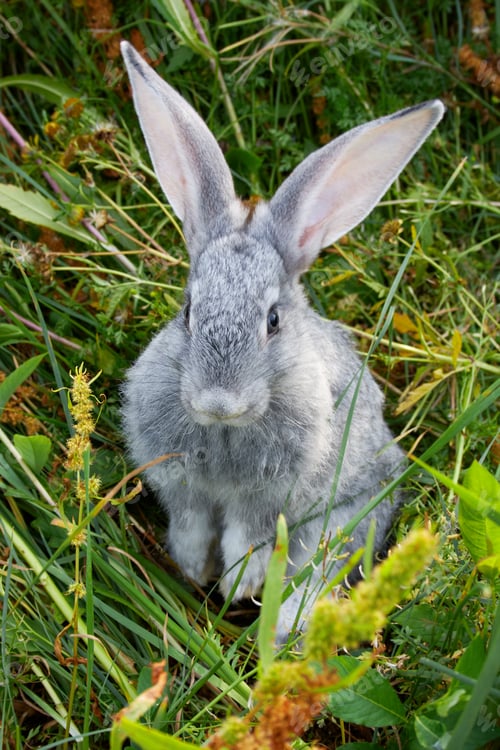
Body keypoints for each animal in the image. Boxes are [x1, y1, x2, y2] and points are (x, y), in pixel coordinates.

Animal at [120, 40, 444, 642]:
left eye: (272, 320)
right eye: (188, 311)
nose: (218, 402)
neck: (226, 432)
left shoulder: (270, 499)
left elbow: (249, 536)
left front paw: (235, 583)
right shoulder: (181, 484)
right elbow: (191, 521)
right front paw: (193, 567)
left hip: (349, 519)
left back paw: (281, 626)